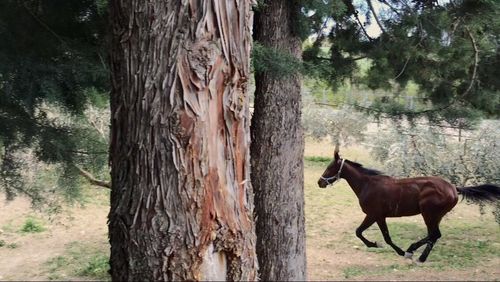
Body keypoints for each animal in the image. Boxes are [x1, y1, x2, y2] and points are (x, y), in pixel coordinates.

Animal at [318, 147, 498, 264]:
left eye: (329, 167)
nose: (320, 182)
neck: (368, 185)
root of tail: (454, 188)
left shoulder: (376, 215)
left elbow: (378, 236)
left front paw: (388, 248)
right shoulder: (374, 216)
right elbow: (360, 231)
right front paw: (378, 245)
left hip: (429, 214)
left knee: (434, 235)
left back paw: (414, 253)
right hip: (435, 216)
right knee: (434, 235)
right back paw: (418, 255)